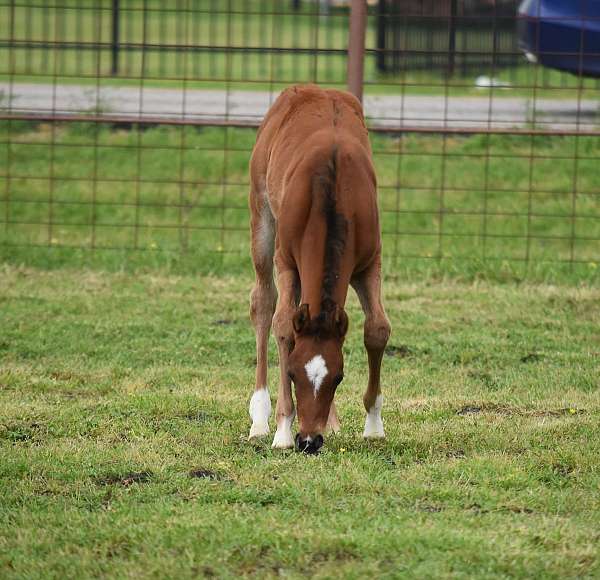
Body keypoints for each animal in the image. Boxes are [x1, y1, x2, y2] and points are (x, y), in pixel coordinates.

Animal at [247, 85, 392, 454]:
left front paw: (374, 427)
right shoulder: (286, 261)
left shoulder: (369, 264)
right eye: (292, 374)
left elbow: (377, 329)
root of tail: (311, 88)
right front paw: (282, 430)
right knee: (263, 302)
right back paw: (260, 419)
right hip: (261, 214)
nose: (309, 440)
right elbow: (283, 326)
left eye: (338, 377)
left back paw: (333, 422)